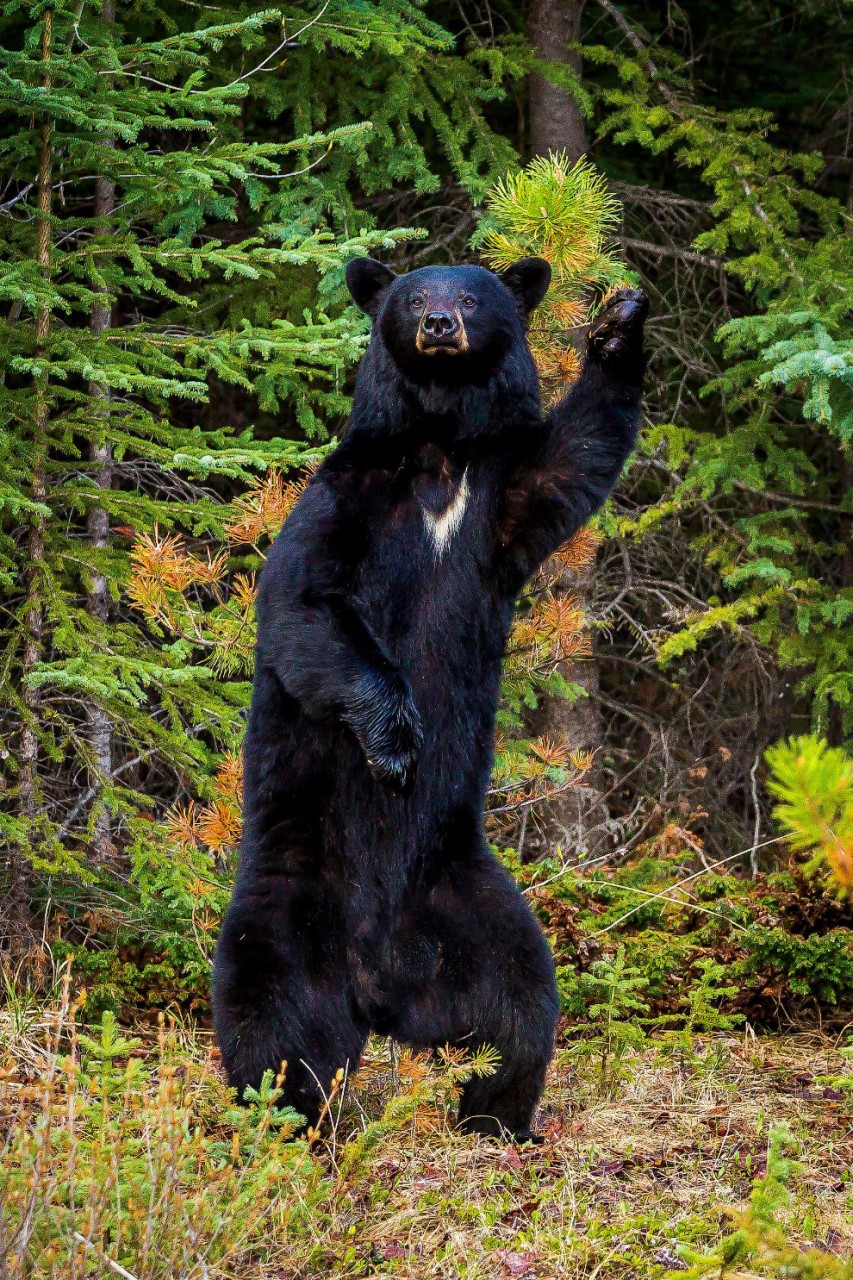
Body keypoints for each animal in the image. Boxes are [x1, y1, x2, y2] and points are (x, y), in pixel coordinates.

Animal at [212, 252, 645, 1141]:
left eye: (471, 298)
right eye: (414, 297)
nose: (439, 326)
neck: (440, 450)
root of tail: (379, 988)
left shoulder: (502, 497)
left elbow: (575, 457)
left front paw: (620, 322)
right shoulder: (344, 499)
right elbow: (306, 607)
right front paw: (395, 742)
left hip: (471, 905)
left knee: (520, 1009)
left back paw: (499, 1118)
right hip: (285, 908)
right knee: (272, 1031)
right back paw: (288, 1127)